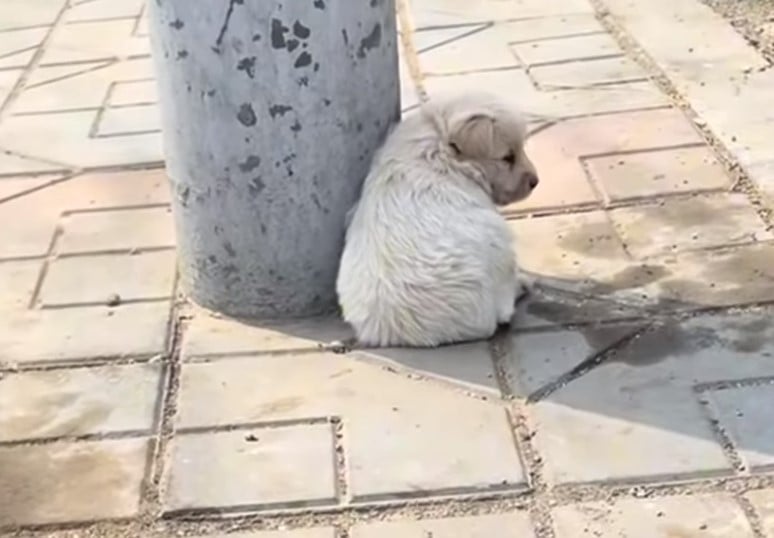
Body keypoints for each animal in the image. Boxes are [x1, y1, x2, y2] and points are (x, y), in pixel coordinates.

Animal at [336, 91, 544, 348]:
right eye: (508, 158)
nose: (535, 181)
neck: (439, 142)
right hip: (499, 243)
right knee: (505, 306)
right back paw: (522, 283)